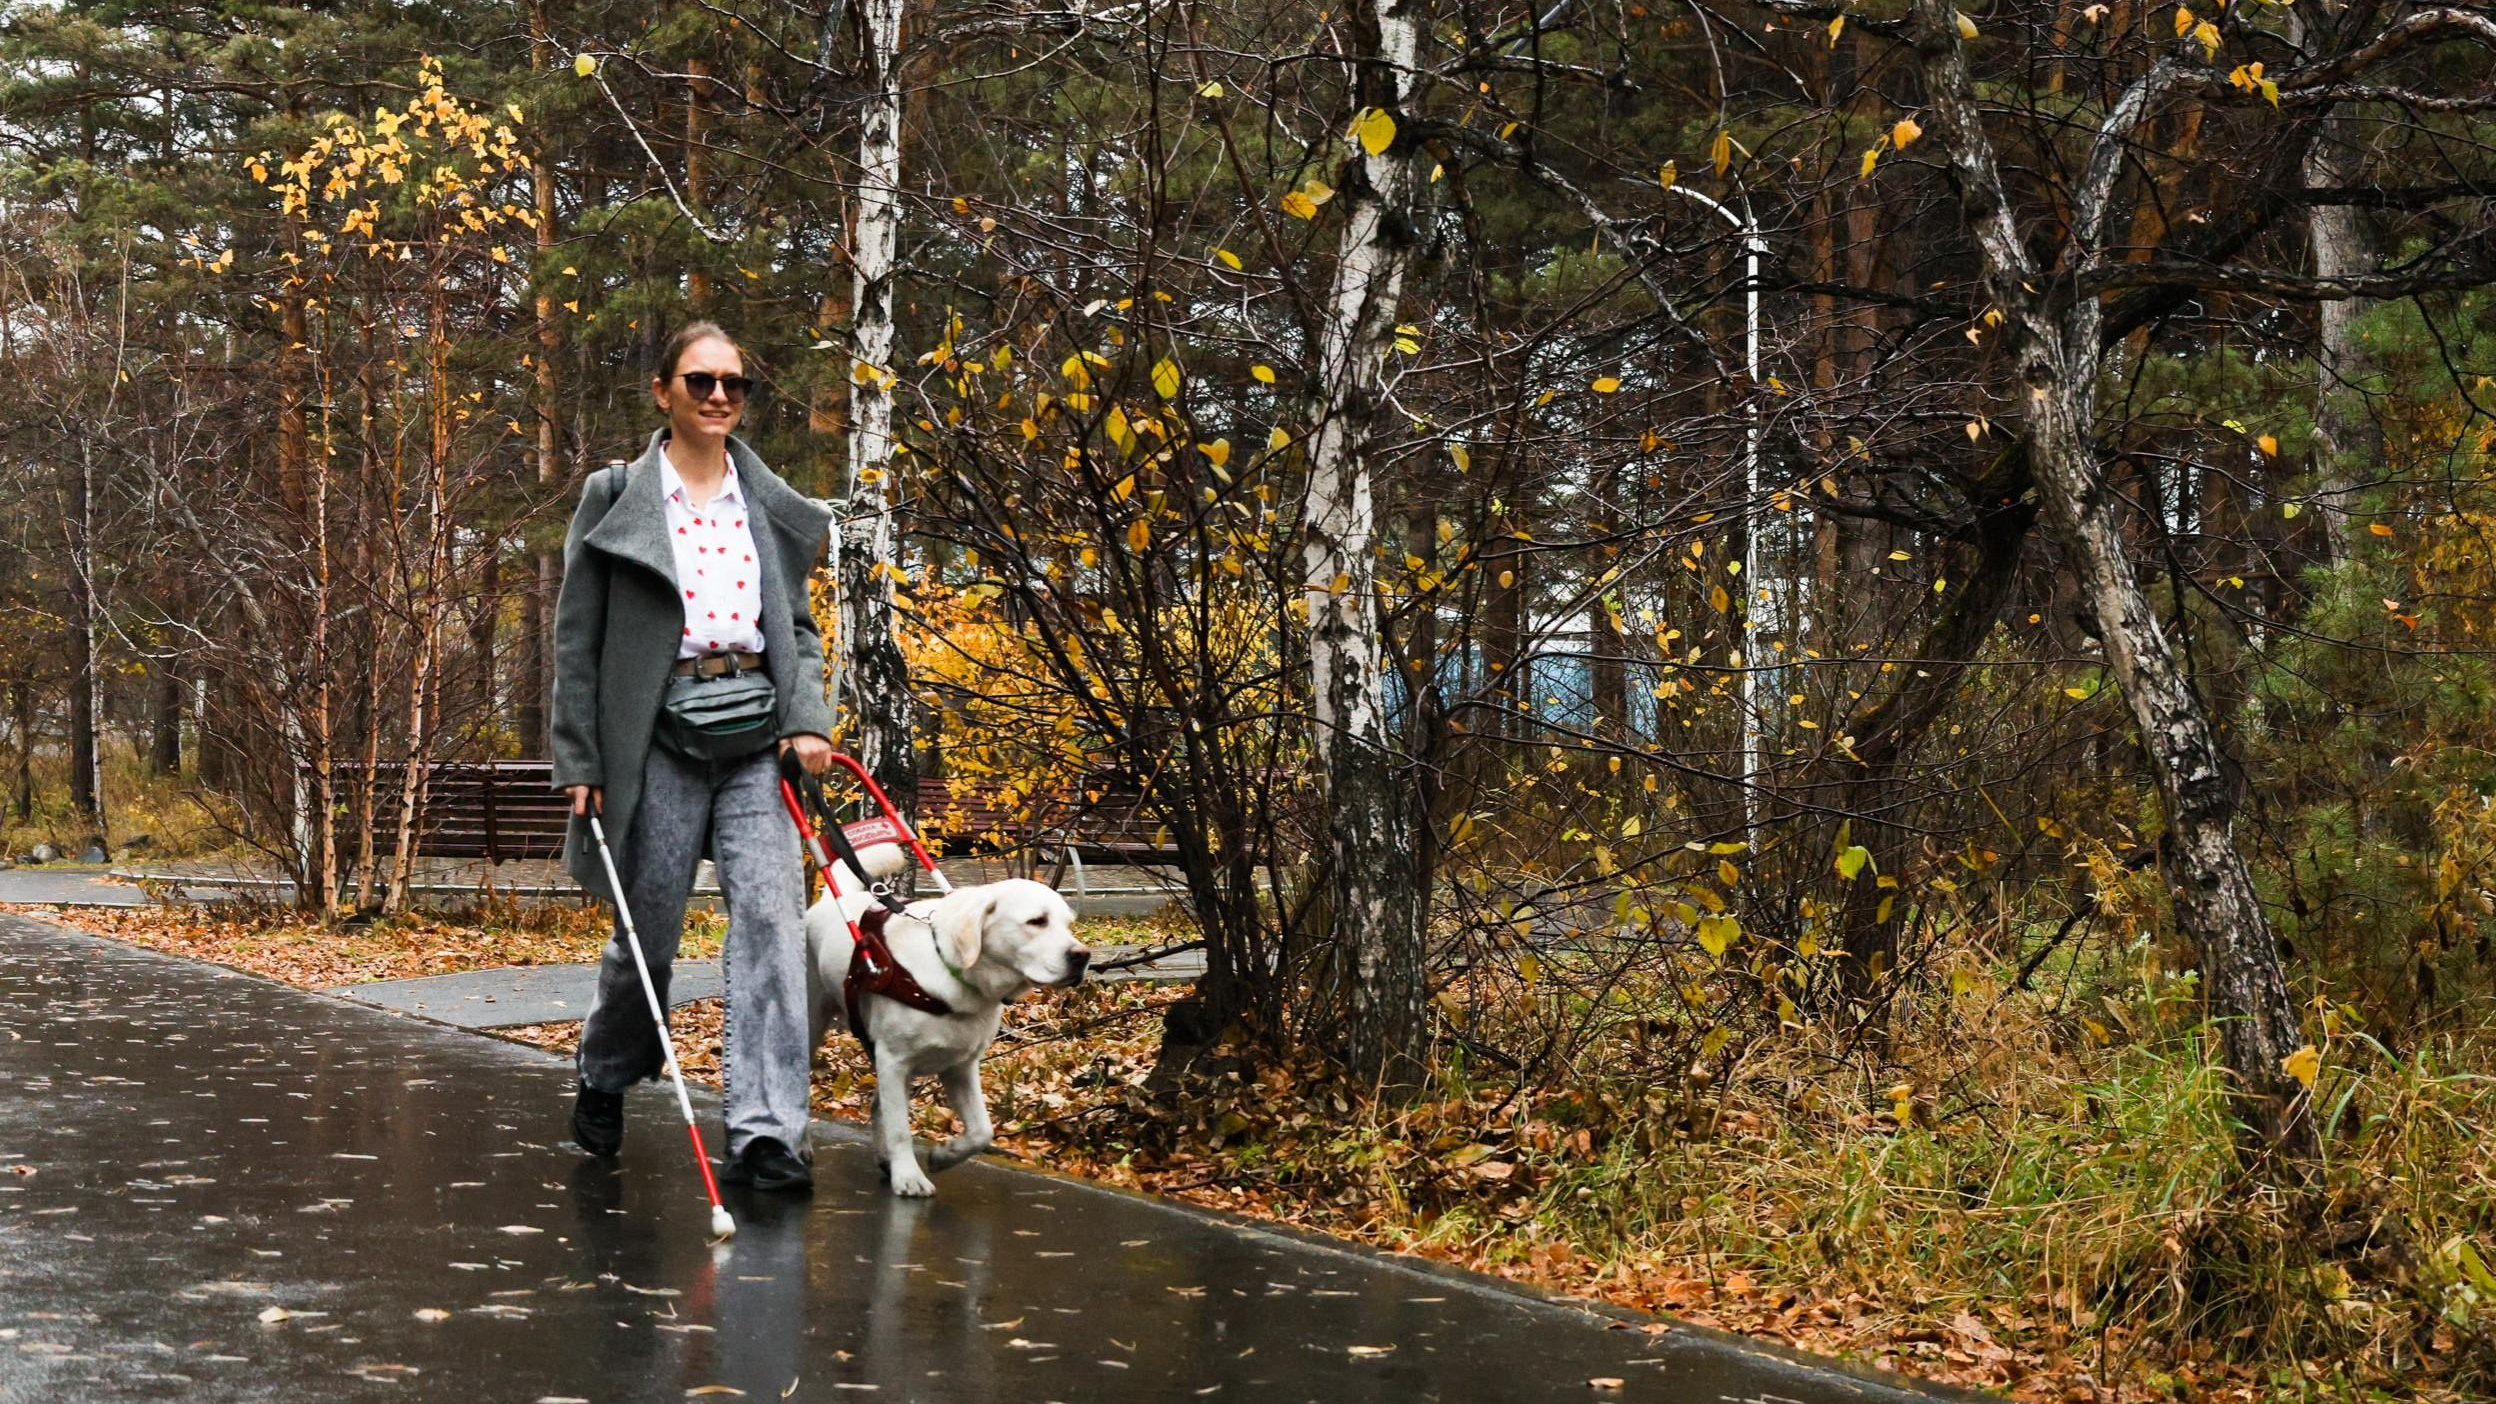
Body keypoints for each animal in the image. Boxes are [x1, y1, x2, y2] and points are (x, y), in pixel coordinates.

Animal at [803, 839, 1088, 1189]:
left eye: (1068, 925)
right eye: (1037, 921)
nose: (1082, 957)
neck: (953, 972)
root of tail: (829, 902)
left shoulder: (960, 1067)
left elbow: (981, 1131)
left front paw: (944, 1155)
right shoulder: (894, 1061)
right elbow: (900, 1129)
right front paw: (909, 1177)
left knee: (878, 1105)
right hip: (812, 1025)